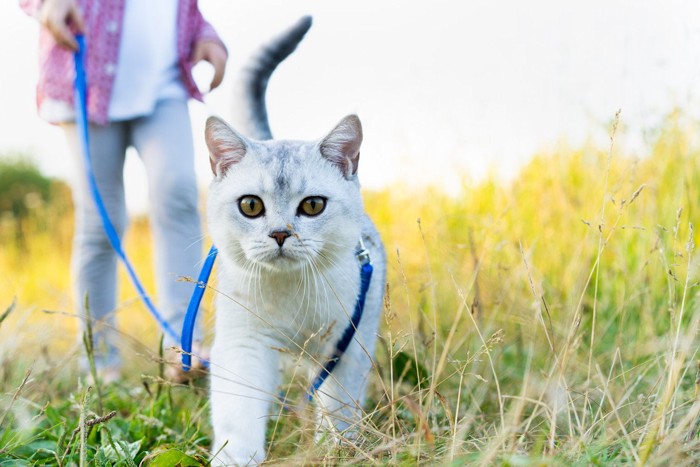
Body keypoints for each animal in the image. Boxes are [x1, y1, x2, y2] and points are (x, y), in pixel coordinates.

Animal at [202, 16, 388, 466]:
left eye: (313, 206)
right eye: (251, 206)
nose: (281, 234)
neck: (291, 294)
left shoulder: (347, 347)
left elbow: (338, 409)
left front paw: (337, 449)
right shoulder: (243, 346)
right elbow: (238, 419)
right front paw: (236, 459)